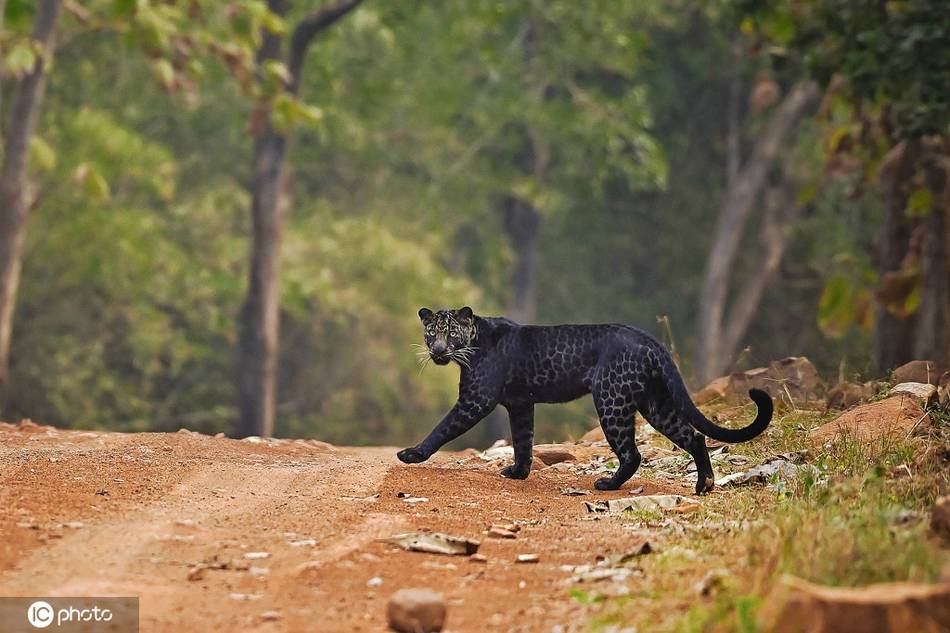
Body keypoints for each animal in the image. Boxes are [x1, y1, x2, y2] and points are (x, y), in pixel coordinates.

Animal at [394, 306, 772, 494]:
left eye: (450, 333)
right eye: (431, 333)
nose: (437, 350)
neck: (472, 343)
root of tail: (649, 339)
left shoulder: (475, 399)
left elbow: (443, 428)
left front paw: (412, 454)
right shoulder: (520, 405)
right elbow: (523, 441)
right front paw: (518, 472)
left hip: (612, 401)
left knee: (633, 453)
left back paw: (608, 485)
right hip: (654, 403)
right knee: (692, 435)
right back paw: (704, 485)